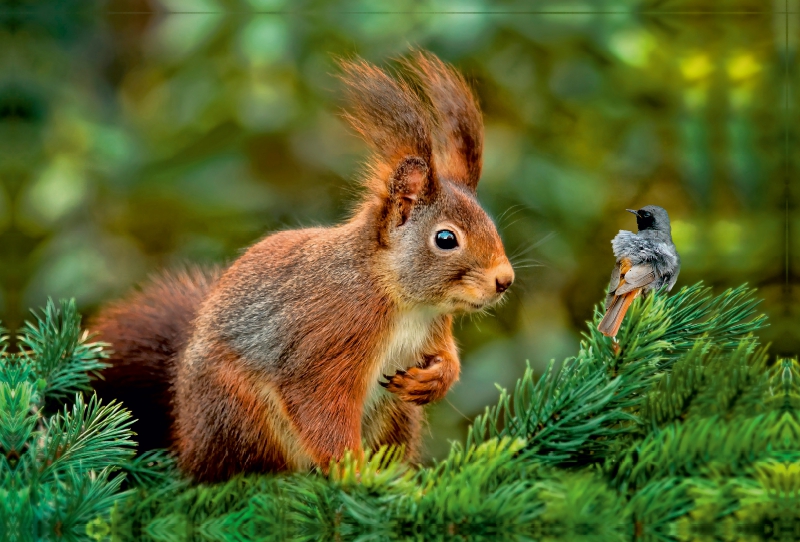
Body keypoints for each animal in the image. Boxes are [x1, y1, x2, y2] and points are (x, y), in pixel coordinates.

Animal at [92, 52, 512, 484]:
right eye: (446, 239)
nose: (504, 280)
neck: (404, 301)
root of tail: (187, 438)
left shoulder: (434, 328)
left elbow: (447, 357)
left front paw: (435, 378)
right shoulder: (331, 335)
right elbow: (319, 405)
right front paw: (355, 474)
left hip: (396, 415)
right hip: (240, 411)